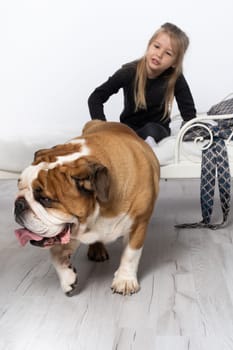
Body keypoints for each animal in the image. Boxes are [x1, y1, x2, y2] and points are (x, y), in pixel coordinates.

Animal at [14, 120, 160, 296]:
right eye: (19, 186)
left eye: (46, 199)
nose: (19, 204)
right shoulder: (70, 233)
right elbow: (56, 254)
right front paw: (67, 279)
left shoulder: (139, 223)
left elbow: (130, 254)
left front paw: (124, 280)